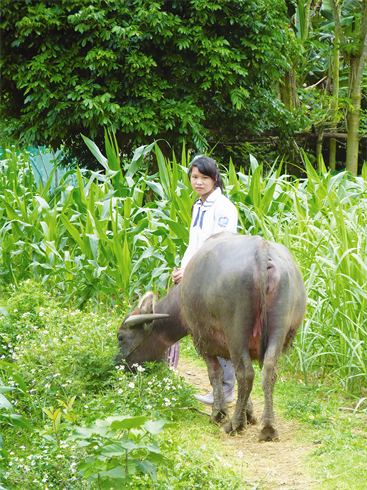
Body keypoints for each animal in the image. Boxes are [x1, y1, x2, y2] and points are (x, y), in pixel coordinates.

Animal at [115, 233, 308, 440]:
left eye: (120, 337)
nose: (117, 365)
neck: (181, 300)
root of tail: (262, 250)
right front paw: (249, 413)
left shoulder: (202, 339)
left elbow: (215, 373)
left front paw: (219, 413)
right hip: (278, 328)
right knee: (268, 372)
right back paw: (268, 428)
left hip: (236, 330)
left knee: (245, 374)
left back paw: (235, 424)